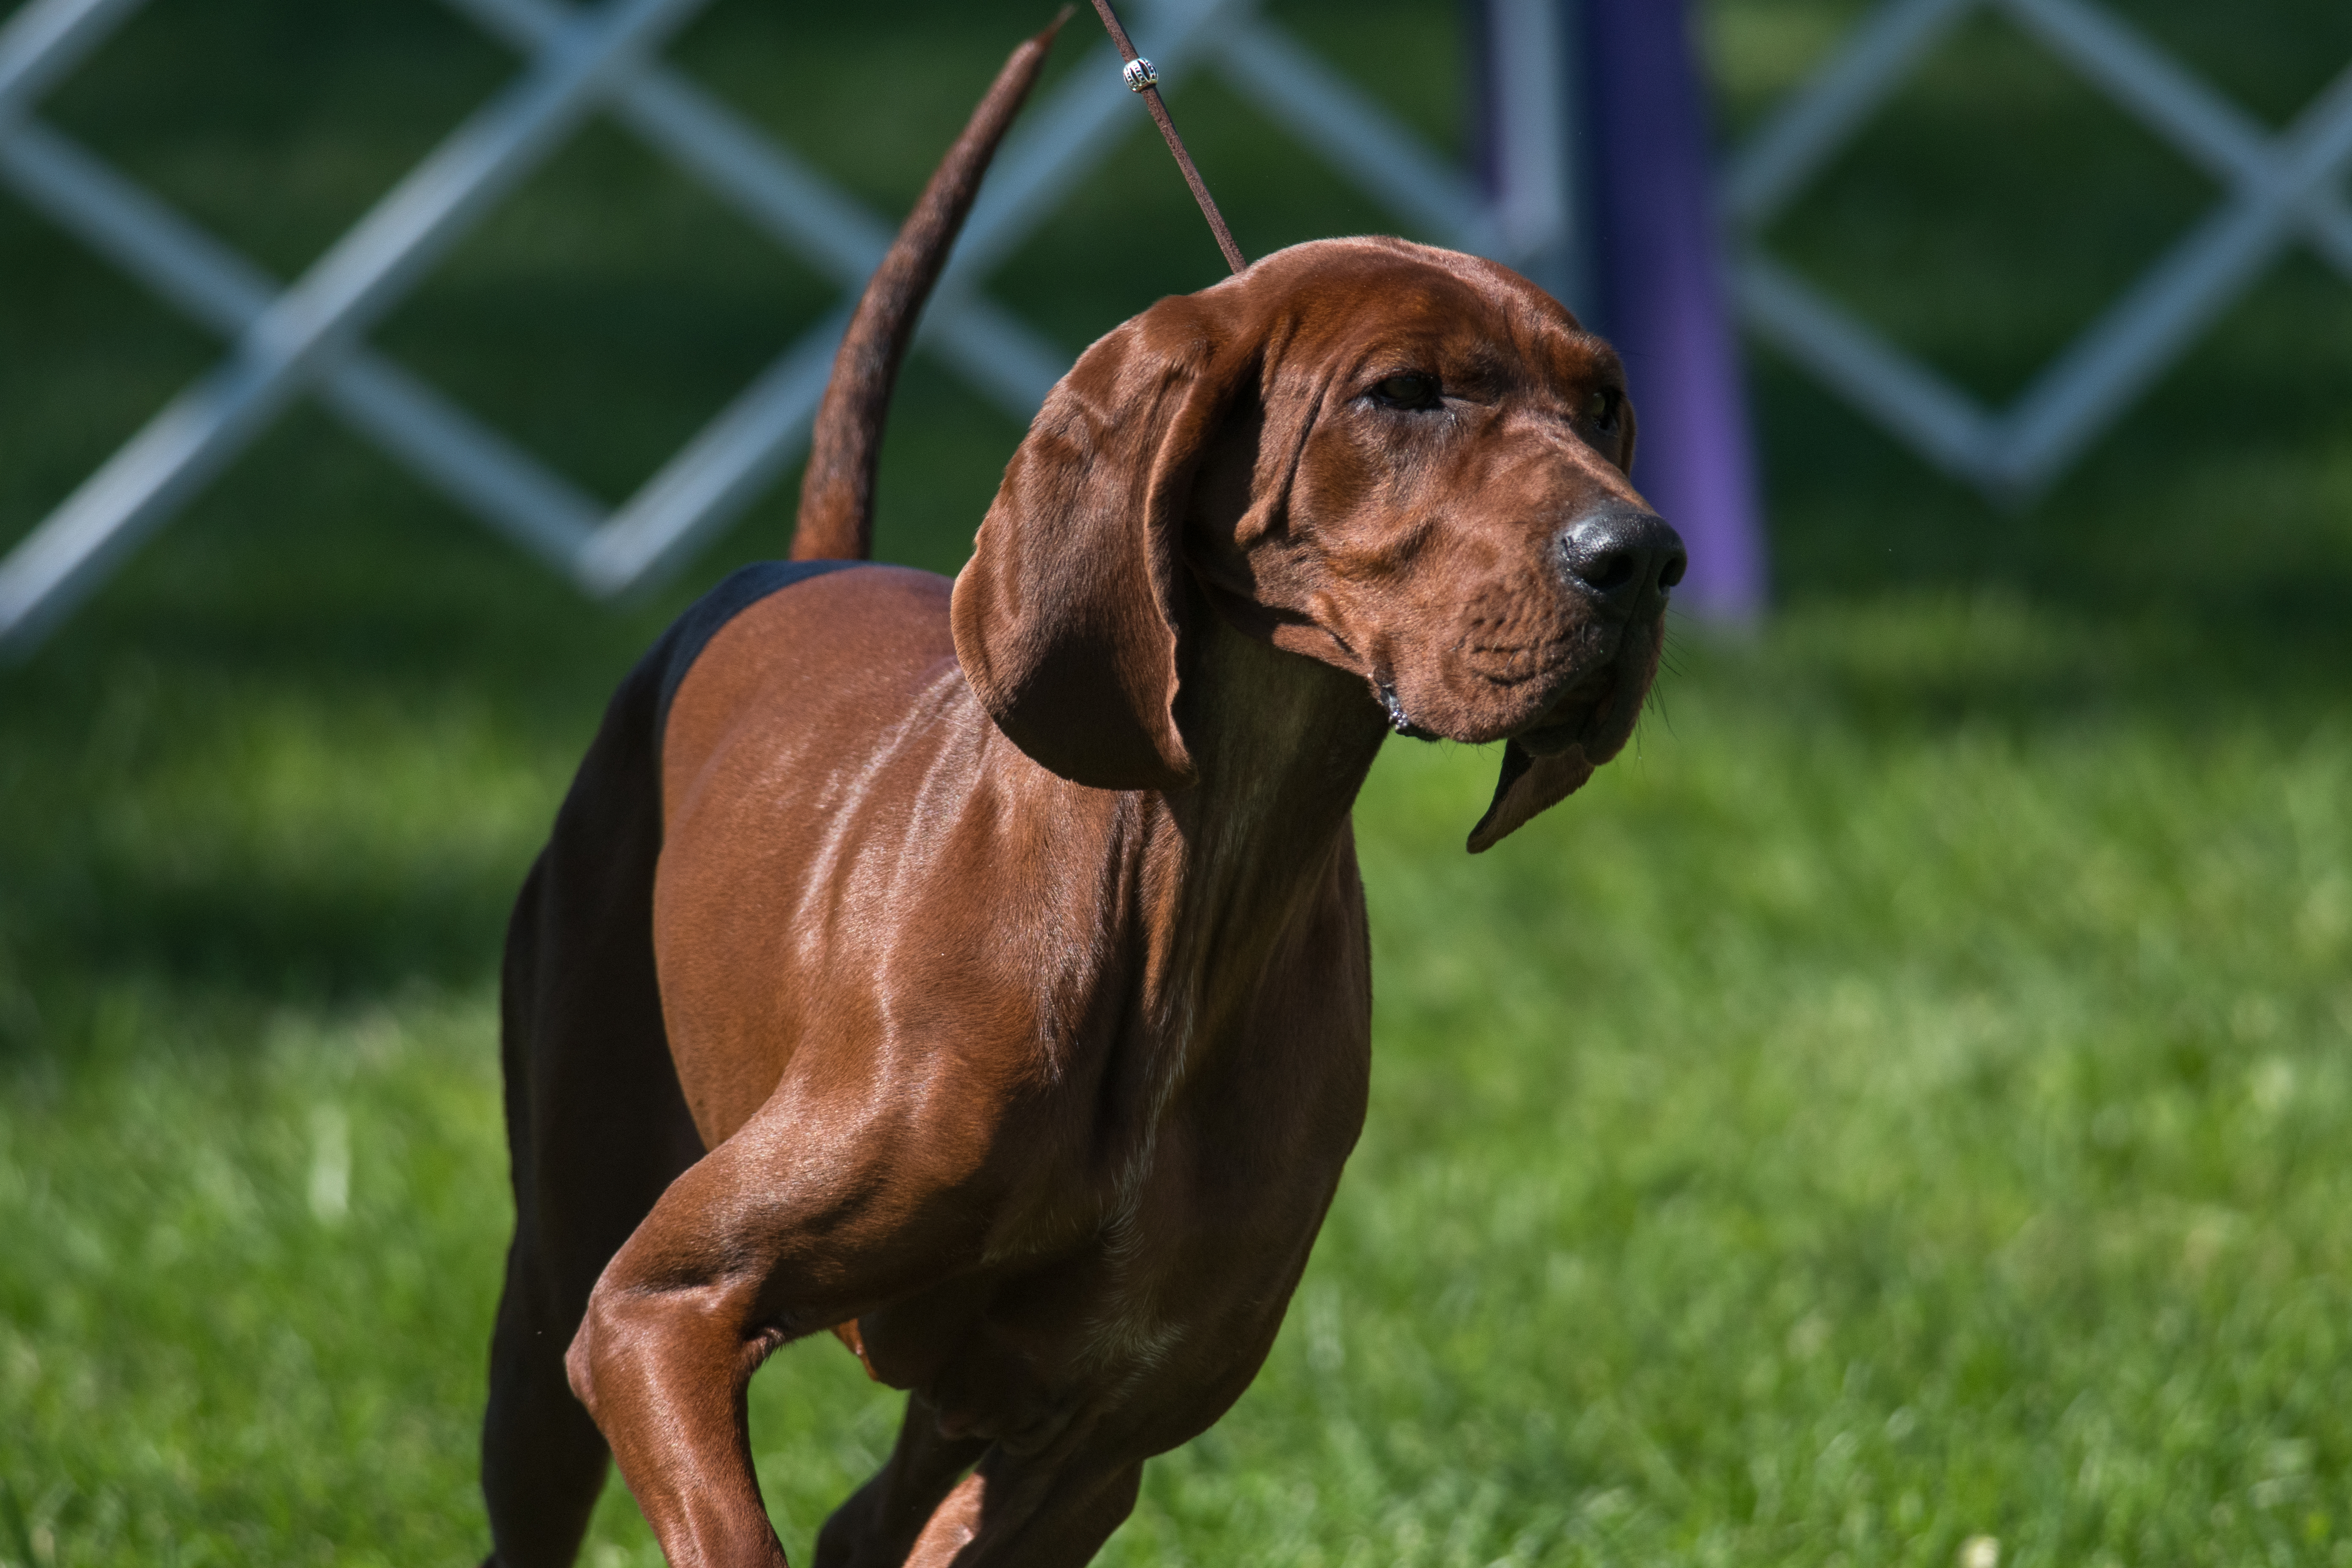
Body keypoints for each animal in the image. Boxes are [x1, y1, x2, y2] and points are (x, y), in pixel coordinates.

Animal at [482, 18, 1674, 1561]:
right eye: (1401, 394)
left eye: (1603, 403)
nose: (1644, 559)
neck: (1185, 899)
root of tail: (801, 562)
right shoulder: (656, 1309)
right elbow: (727, 1510)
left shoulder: (1096, 1436)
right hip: (555, 1277)